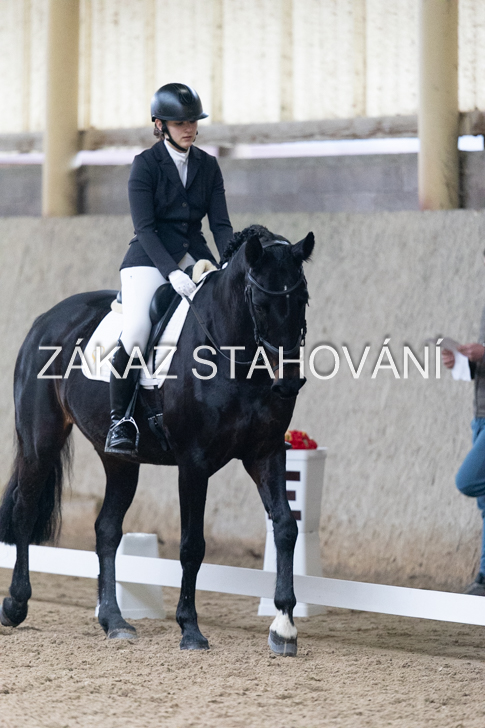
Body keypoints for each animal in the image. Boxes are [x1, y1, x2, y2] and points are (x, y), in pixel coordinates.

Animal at [0, 224, 315, 656]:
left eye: (302, 299)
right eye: (261, 303)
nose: (287, 384)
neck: (233, 355)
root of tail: (46, 319)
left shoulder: (265, 453)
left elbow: (285, 527)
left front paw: (284, 627)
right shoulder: (194, 463)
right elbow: (192, 545)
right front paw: (190, 630)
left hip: (119, 460)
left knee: (106, 530)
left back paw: (114, 621)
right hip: (40, 440)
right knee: (25, 511)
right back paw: (15, 605)